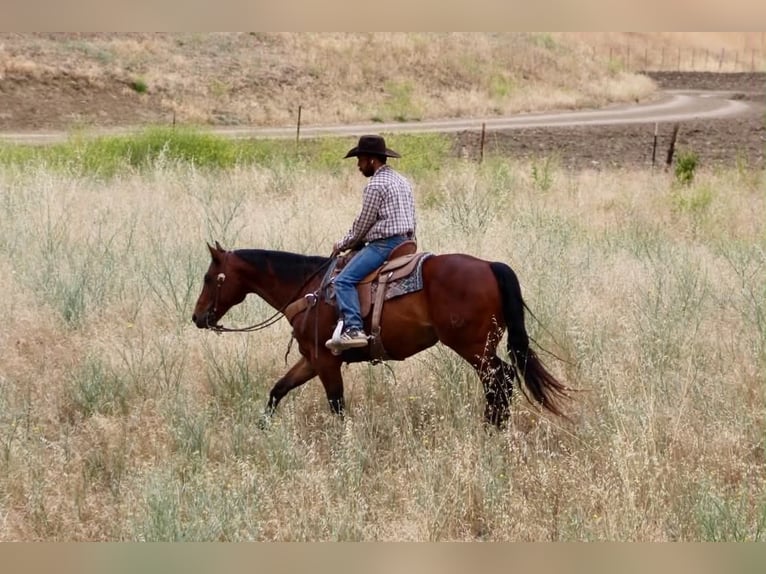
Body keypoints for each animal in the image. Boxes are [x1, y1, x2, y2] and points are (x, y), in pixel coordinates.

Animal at [191, 241, 570, 427]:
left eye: (209, 278)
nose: (197, 317)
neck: (308, 288)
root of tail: (490, 266)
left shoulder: (326, 361)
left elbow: (337, 406)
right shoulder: (310, 359)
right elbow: (277, 390)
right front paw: (261, 430)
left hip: (474, 348)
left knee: (500, 380)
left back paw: (492, 429)